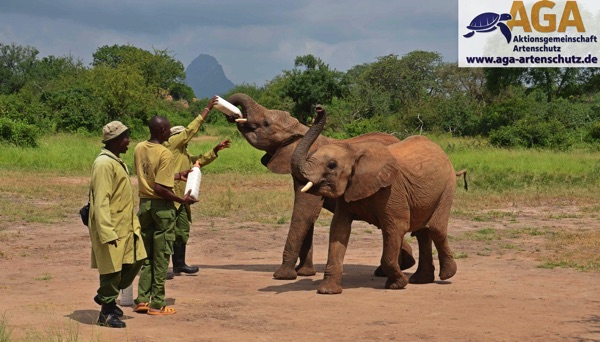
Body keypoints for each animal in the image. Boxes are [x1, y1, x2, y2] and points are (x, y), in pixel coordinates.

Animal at [223, 92, 414, 280]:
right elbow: (309, 216)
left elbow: (304, 213)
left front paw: (283, 275)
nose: (233, 115)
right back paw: (399, 266)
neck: (301, 131)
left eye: (266, 123)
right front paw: (304, 273)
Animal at [290, 105, 460, 294]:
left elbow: (396, 227)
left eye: (332, 165)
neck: (354, 151)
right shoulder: (349, 190)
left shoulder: (392, 190)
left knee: (436, 228)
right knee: (422, 232)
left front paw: (397, 284)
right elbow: (339, 230)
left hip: (447, 186)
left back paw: (446, 275)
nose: (318, 108)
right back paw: (420, 280)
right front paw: (328, 291)